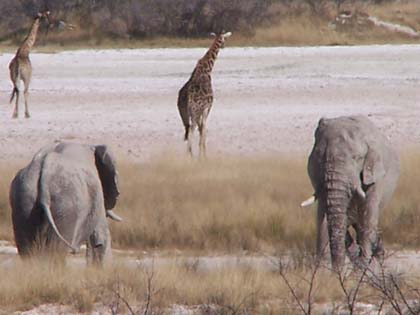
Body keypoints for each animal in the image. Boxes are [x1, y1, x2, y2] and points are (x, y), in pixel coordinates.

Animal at [176, 31, 231, 159]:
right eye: (224, 39)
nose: (223, 46)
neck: (206, 69)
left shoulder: (202, 110)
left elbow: (201, 129)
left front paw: (202, 154)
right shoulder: (207, 107)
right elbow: (204, 129)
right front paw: (203, 156)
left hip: (185, 114)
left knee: (188, 130)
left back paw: (189, 155)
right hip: (194, 112)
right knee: (192, 130)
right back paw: (190, 156)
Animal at [300, 116, 398, 272]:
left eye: (357, 158)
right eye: (320, 157)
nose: (337, 271)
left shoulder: (376, 174)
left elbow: (369, 212)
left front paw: (365, 268)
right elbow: (323, 216)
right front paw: (321, 272)